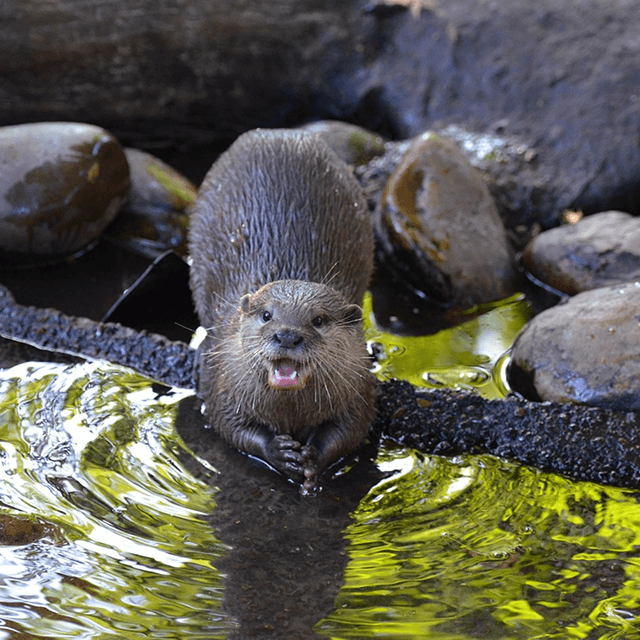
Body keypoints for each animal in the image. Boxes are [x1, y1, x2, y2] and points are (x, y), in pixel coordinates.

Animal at [189, 129, 377, 493]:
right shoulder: (222, 381)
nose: (287, 335)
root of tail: (282, 133)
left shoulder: (359, 386)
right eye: (266, 315)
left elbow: (352, 430)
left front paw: (314, 457)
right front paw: (278, 453)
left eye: (319, 320)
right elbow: (227, 424)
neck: (290, 413)